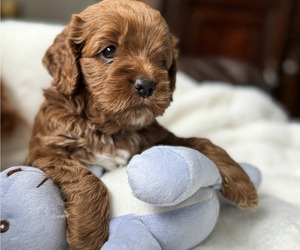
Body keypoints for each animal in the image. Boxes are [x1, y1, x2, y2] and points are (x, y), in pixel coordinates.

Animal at [25, 0, 258, 249]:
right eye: (109, 51)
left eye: (161, 59)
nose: (146, 85)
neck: (110, 126)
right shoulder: (45, 151)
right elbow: (86, 177)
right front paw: (89, 235)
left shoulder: (157, 138)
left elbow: (200, 141)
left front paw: (243, 183)